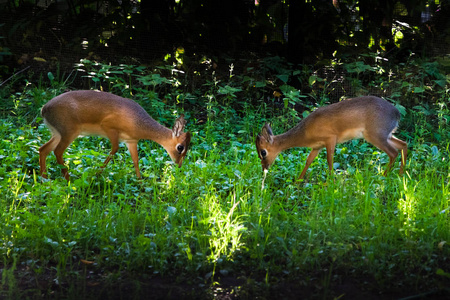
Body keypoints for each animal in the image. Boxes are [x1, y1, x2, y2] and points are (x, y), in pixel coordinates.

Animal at [39, 89, 192, 180]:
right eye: (180, 147)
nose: (179, 165)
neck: (138, 122)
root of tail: (44, 109)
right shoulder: (109, 128)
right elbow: (114, 150)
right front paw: (97, 174)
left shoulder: (131, 141)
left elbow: (135, 161)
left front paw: (140, 182)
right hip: (69, 133)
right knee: (57, 151)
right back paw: (68, 178)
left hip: (58, 134)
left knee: (43, 149)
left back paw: (44, 178)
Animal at [256, 96, 408, 180]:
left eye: (263, 152)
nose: (264, 168)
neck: (305, 133)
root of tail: (397, 113)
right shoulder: (317, 147)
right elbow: (308, 161)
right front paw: (297, 182)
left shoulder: (331, 139)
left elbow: (330, 161)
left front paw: (330, 184)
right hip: (386, 135)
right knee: (403, 144)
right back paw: (401, 175)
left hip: (375, 136)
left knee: (393, 153)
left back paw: (383, 177)